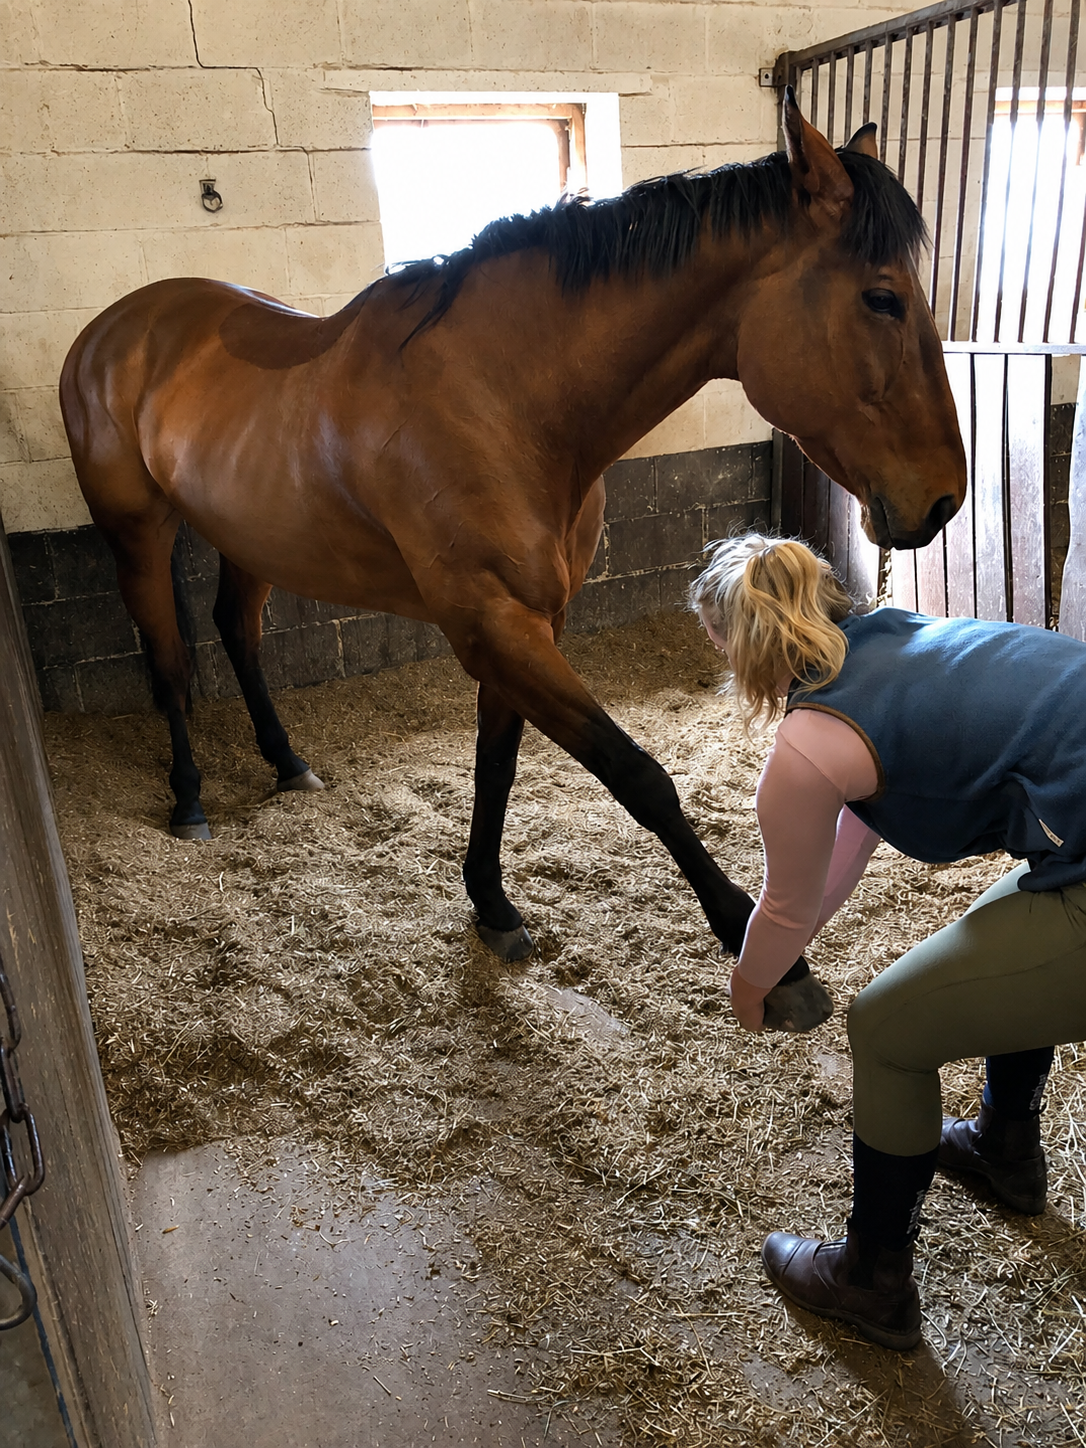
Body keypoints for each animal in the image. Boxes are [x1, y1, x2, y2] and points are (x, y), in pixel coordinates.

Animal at [59, 94, 965, 1030]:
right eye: (882, 297)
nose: (944, 499)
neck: (503, 399)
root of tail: (116, 327)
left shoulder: (523, 625)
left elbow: (495, 767)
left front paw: (490, 904)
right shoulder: (496, 626)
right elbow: (641, 778)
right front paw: (765, 954)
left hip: (252, 537)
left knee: (236, 633)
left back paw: (286, 763)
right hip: (137, 533)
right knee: (169, 661)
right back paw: (189, 796)